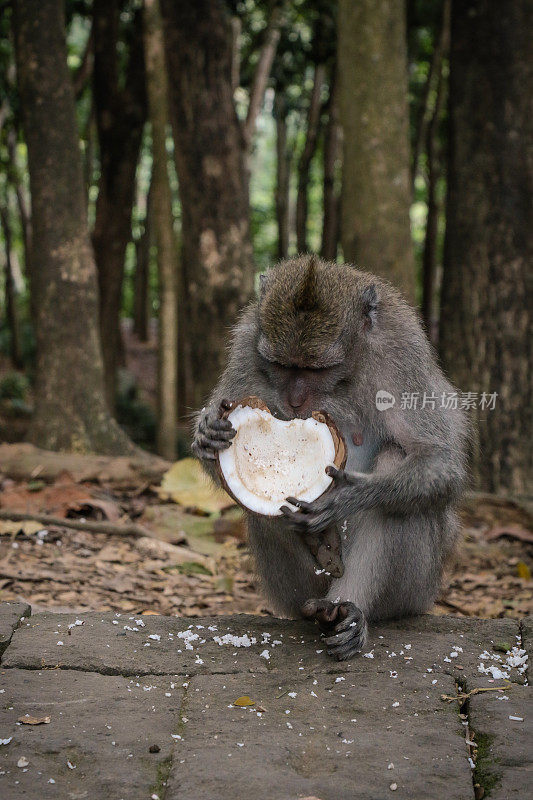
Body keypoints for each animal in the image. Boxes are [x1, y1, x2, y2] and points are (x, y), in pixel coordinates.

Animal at [193, 255, 468, 656]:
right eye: (282, 366)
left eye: (316, 369)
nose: (294, 400)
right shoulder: (247, 346)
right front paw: (207, 435)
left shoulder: (402, 351)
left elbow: (439, 460)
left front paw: (349, 496)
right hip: (292, 594)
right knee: (264, 515)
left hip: (416, 591)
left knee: (396, 471)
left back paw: (346, 611)